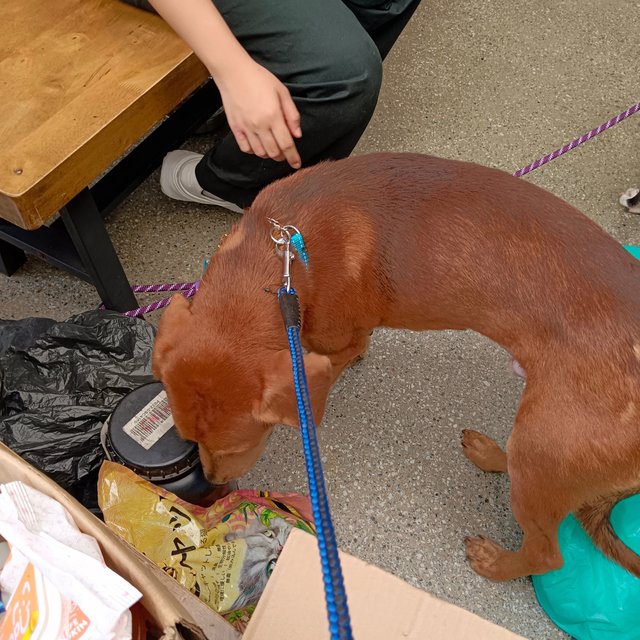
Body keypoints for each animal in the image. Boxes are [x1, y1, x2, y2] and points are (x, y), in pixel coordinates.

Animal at [154, 154, 640, 580]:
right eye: (187, 438)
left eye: (237, 447)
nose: (215, 481)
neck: (282, 258)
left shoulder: (335, 342)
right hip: (540, 442)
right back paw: (490, 455)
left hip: (546, 446)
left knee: (546, 554)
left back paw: (496, 563)